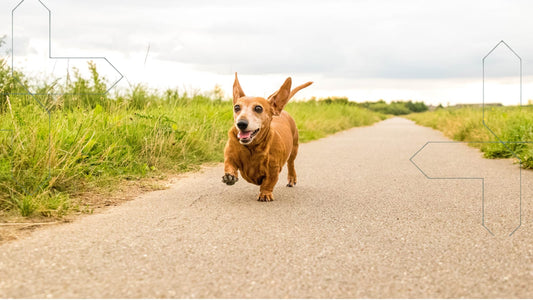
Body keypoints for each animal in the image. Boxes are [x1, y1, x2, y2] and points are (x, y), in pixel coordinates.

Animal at [221, 73, 312, 202]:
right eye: (237, 107)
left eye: (258, 108)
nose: (241, 123)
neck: (252, 147)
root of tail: (280, 111)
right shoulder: (230, 157)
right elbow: (229, 165)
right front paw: (229, 176)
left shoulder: (273, 169)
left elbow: (269, 183)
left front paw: (265, 194)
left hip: (294, 148)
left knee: (291, 164)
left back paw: (291, 178)